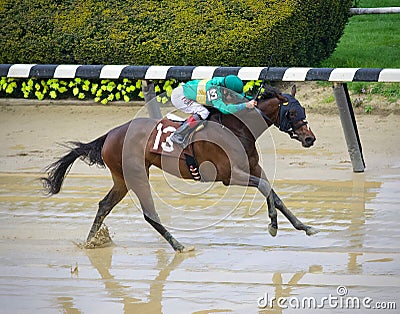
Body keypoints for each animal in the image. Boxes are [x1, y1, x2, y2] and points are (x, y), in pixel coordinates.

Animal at [41, 84, 318, 251]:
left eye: (303, 109)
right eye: (291, 113)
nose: (310, 138)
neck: (238, 128)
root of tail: (110, 134)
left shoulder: (253, 167)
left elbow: (273, 193)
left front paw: (304, 227)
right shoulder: (230, 175)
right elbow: (264, 188)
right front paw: (273, 226)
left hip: (122, 178)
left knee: (104, 206)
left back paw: (90, 242)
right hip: (136, 175)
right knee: (148, 213)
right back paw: (179, 246)